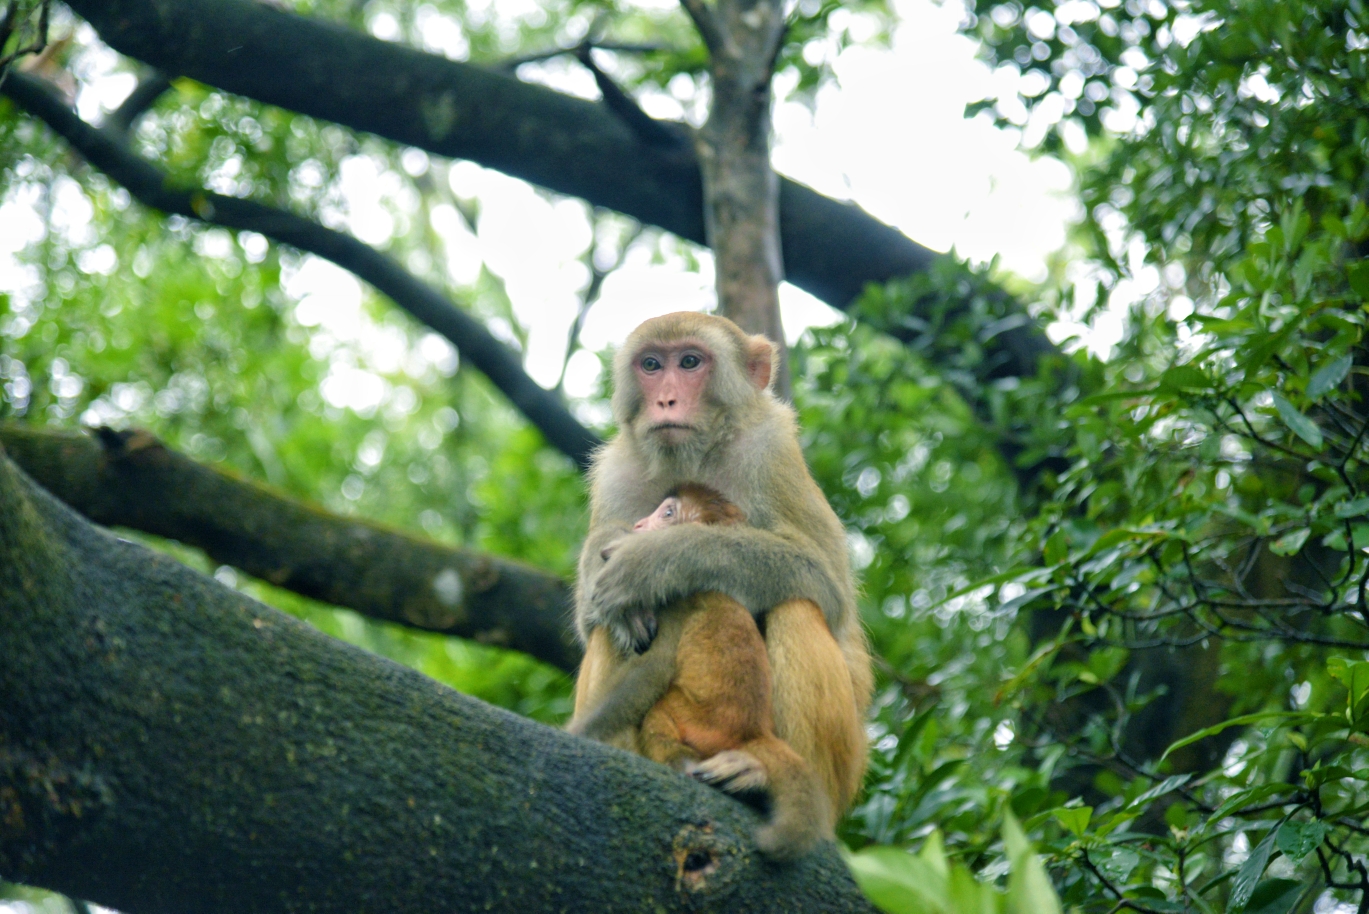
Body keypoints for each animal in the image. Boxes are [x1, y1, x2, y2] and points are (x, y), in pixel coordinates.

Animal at [569, 314, 870, 820]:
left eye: (691, 362)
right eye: (652, 365)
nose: (666, 400)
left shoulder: (773, 452)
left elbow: (827, 585)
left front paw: (655, 561)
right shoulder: (615, 472)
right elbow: (589, 614)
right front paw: (608, 558)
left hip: (844, 766)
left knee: (797, 605)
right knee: (611, 627)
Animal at [569, 481, 826, 859]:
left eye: (667, 513)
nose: (640, 524)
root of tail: (755, 731)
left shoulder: (674, 600)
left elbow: (650, 671)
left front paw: (575, 734)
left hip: (703, 724)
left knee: (658, 710)